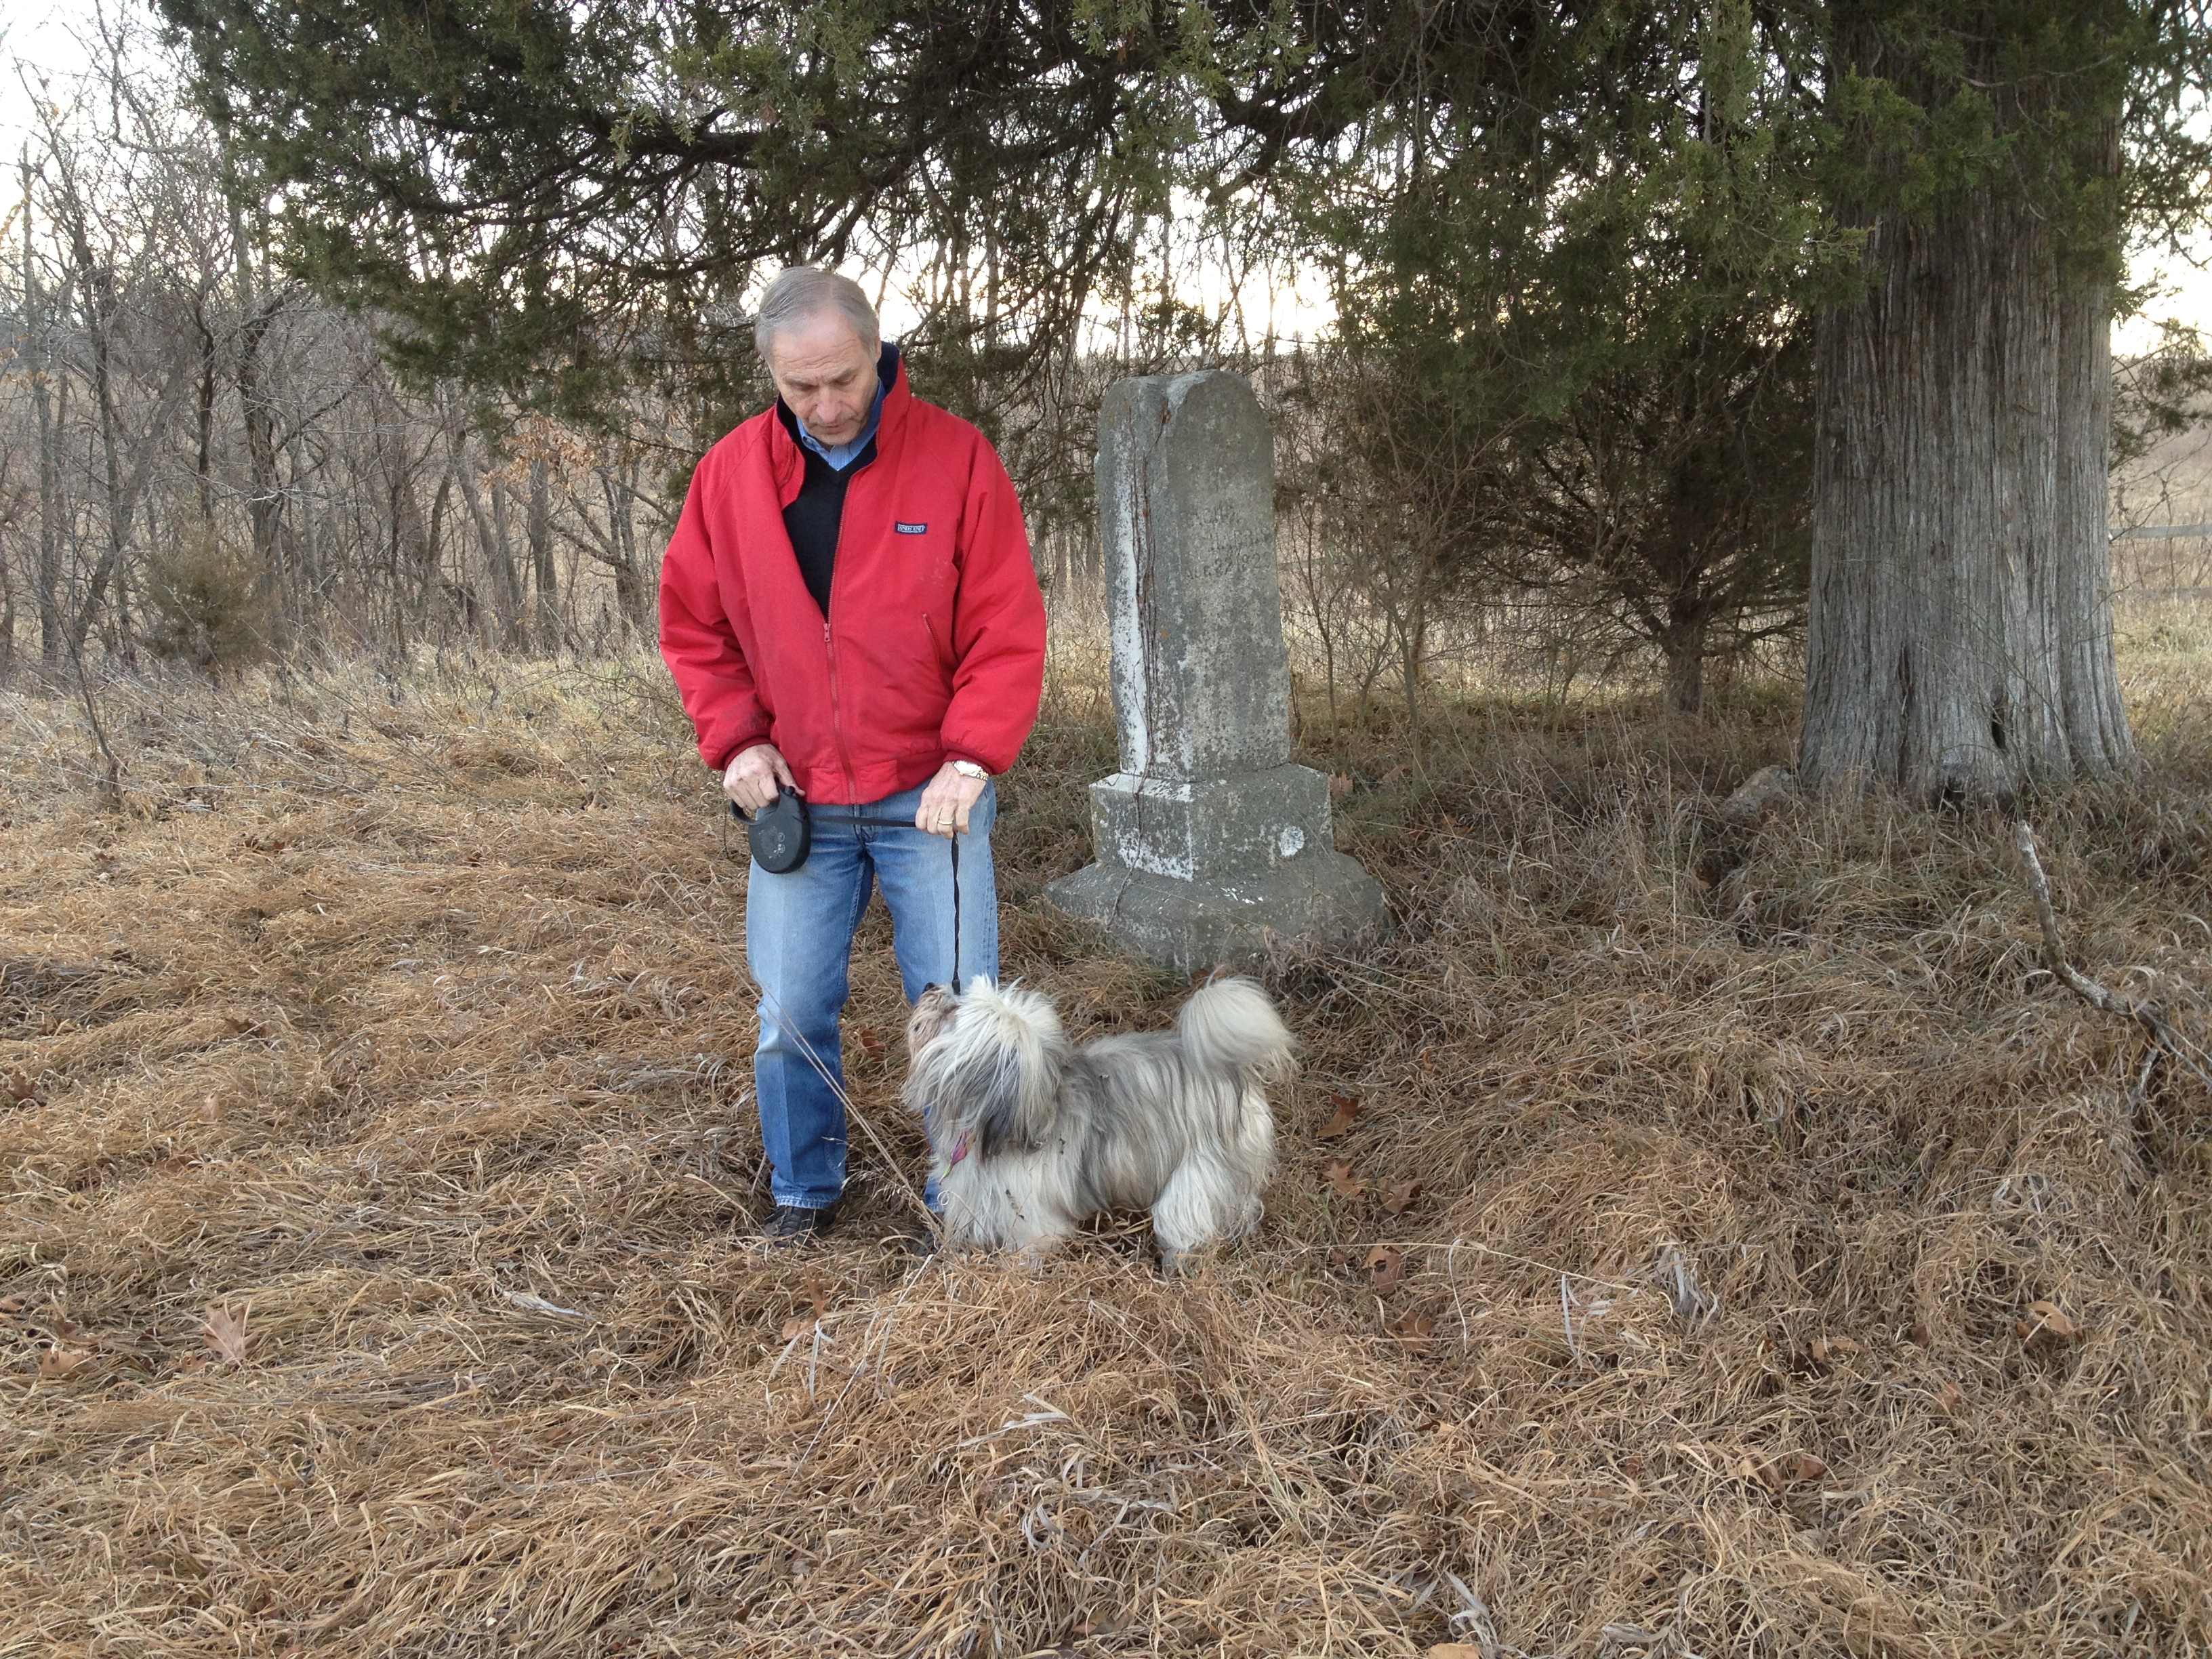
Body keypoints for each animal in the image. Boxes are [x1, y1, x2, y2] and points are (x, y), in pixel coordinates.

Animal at [902, 974, 1295, 1268]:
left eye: (953, 1010)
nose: (930, 986)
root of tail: (1233, 1070)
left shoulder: (1032, 1223)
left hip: (1195, 1178)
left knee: (1186, 1224)